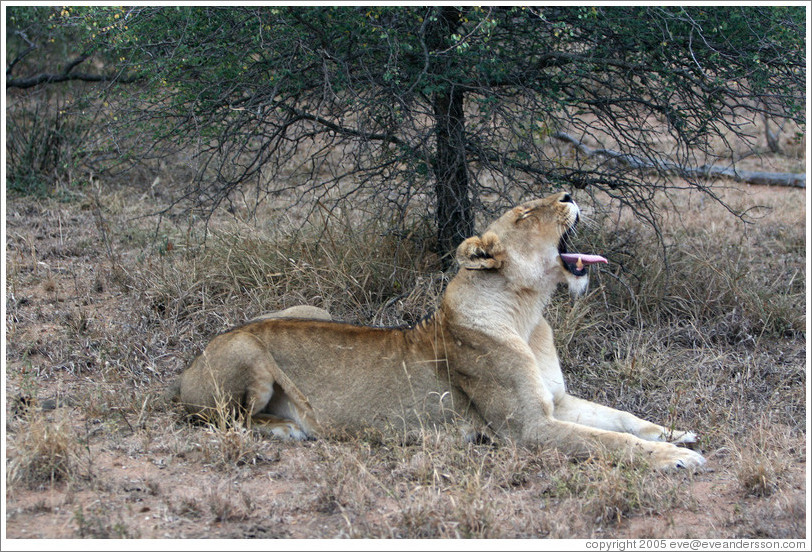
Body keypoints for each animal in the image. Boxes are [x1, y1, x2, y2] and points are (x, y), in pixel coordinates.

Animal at [173, 192, 706, 470]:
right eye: (525, 214)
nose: (570, 193)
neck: (528, 314)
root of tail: (189, 365)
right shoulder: (527, 429)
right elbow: (609, 442)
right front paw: (670, 458)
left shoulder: (557, 403)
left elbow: (621, 418)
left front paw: (675, 433)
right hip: (246, 353)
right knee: (221, 420)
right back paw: (287, 428)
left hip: (311, 308)